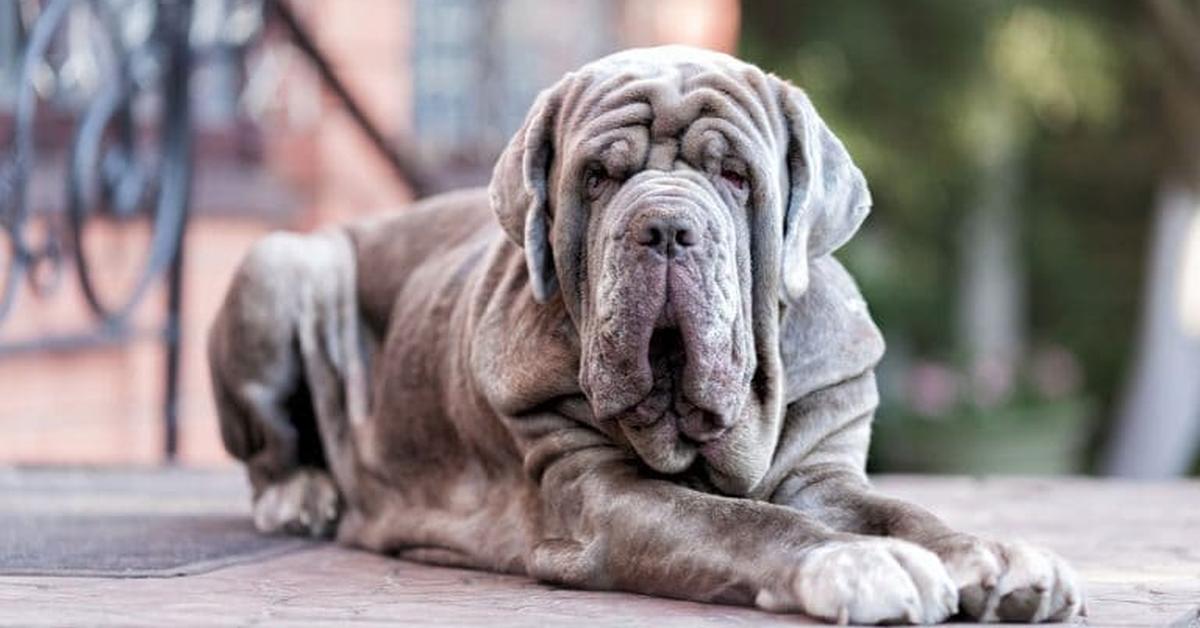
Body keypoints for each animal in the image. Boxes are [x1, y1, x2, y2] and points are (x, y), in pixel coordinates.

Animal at [211, 45, 1084, 624]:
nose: (664, 226)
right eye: (598, 177)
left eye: (735, 176)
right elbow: (742, 521)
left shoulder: (825, 474)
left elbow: (904, 513)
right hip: (285, 263)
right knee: (269, 453)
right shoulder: (600, 495)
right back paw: (301, 494)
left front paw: (996, 557)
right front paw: (856, 561)